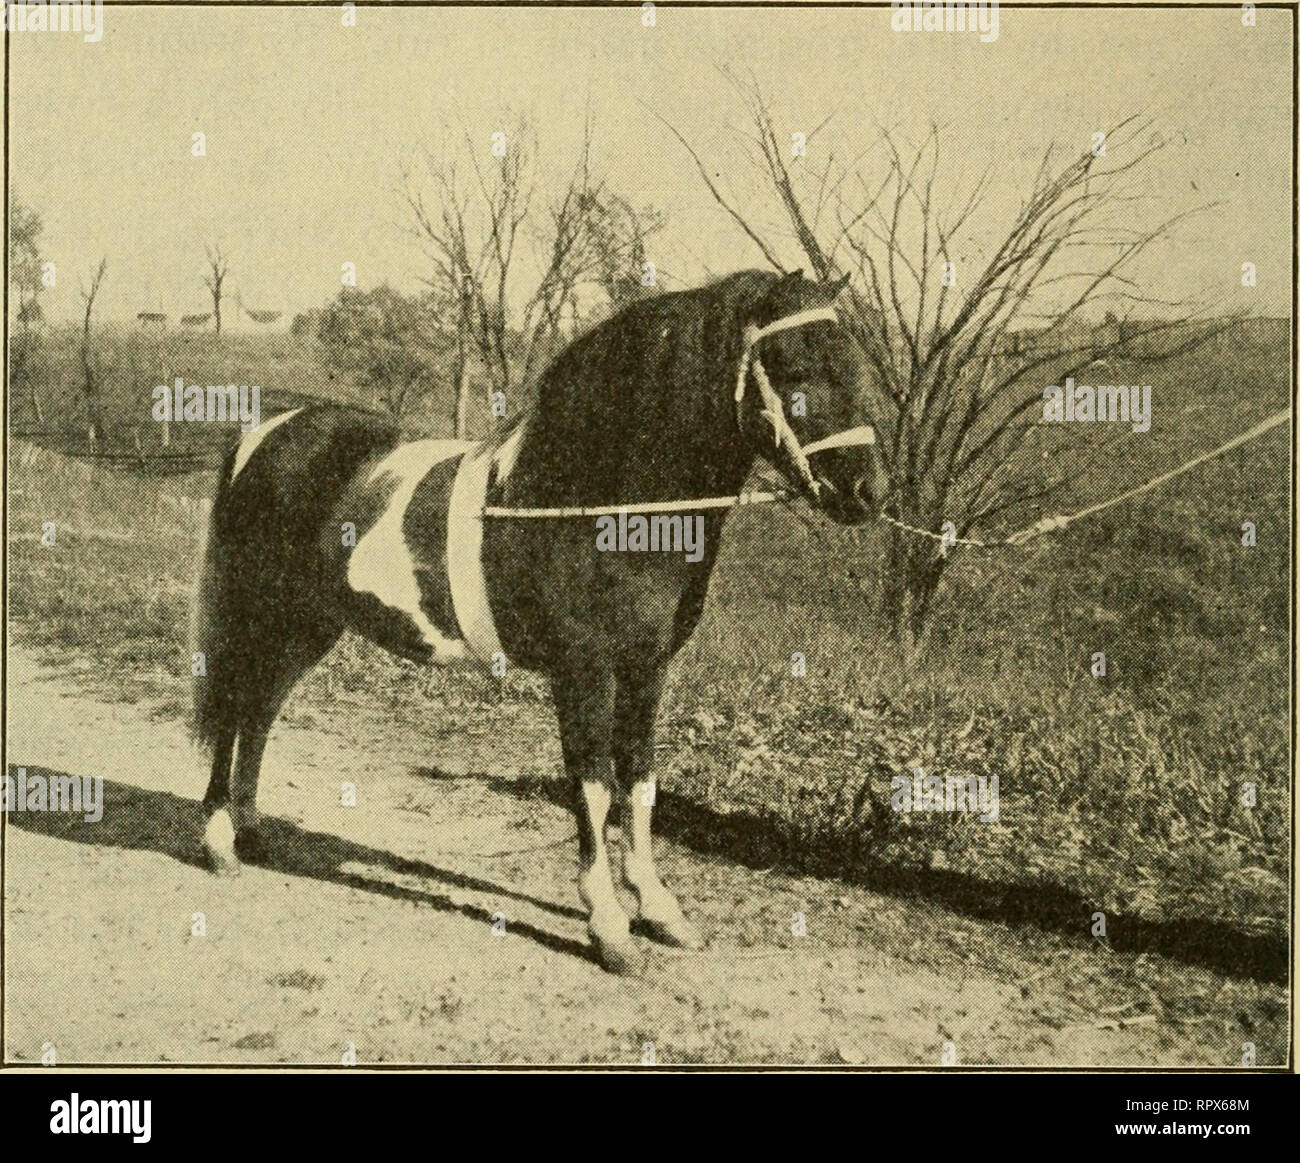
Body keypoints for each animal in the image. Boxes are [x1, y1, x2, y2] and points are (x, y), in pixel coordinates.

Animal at [195, 270, 883, 971]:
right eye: (794, 368)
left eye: (857, 363)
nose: (869, 492)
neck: (601, 499)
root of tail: (268, 432)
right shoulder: (582, 671)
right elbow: (594, 787)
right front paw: (608, 927)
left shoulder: (646, 669)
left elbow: (640, 782)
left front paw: (659, 910)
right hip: (259, 611)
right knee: (234, 709)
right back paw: (220, 841)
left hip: (308, 622)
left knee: (260, 708)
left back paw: (251, 830)